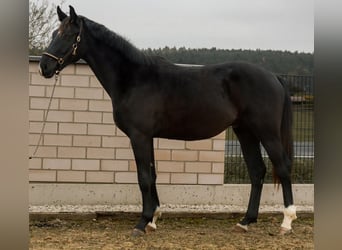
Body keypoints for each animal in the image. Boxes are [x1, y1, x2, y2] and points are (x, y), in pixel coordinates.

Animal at [39, 6, 296, 236]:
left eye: (68, 35)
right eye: (52, 34)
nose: (44, 66)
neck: (134, 78)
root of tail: (273, 76)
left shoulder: (139, 135)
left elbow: (143, 177)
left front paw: (141, 223)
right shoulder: (147, 136)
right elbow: (152, 175)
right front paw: (153, 219)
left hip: (267, 133)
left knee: (282, 167)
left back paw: (286, 222)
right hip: (245, 132)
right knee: (257, 171)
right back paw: (245, 221)